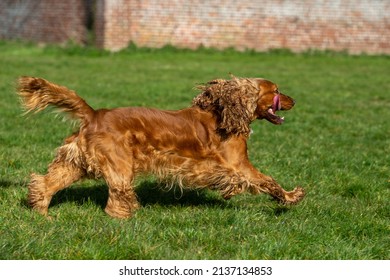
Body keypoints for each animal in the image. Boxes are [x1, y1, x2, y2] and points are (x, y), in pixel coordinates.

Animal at [17, 75, 304, 218]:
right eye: (276, 90)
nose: (294, 100)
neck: (225, 115)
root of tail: (94, 114)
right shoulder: (239, 165)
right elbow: (268, 181)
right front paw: (291, 196)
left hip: (76, 163)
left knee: (46, 183)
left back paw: (42, 214)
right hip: (119, 166)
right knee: (116, 200)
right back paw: (125, 219)